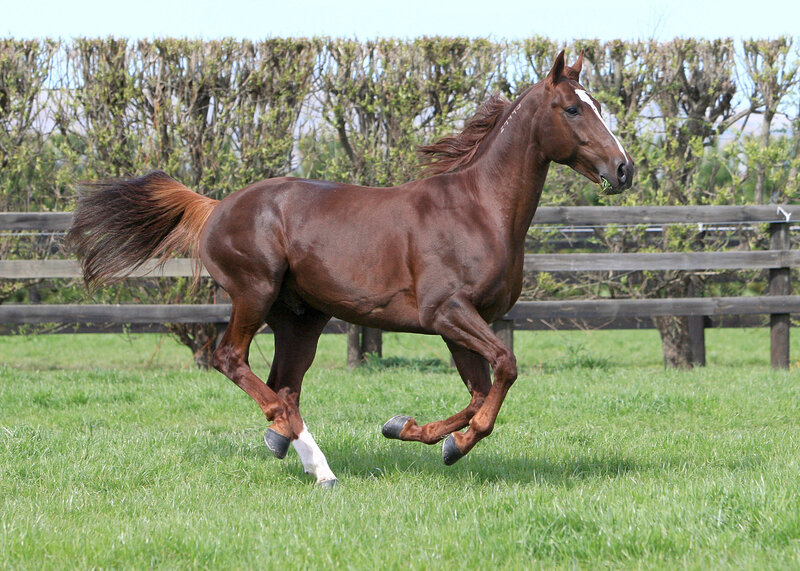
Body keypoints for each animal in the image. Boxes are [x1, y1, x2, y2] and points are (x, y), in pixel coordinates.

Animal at [66, 50, 633, 487]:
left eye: (598, 106)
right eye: (572, 109)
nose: (624, 169)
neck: (478, 209)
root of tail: (215, 206)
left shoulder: (462, 323)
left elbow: (478, 392)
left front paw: (411, 430)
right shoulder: (447, 312)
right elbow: (505, 369)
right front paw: (451, 441)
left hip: (301, 318)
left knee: (284, 383)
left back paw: (305, 457)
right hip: (254, 291)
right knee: (232, 360)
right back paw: (295, 441)